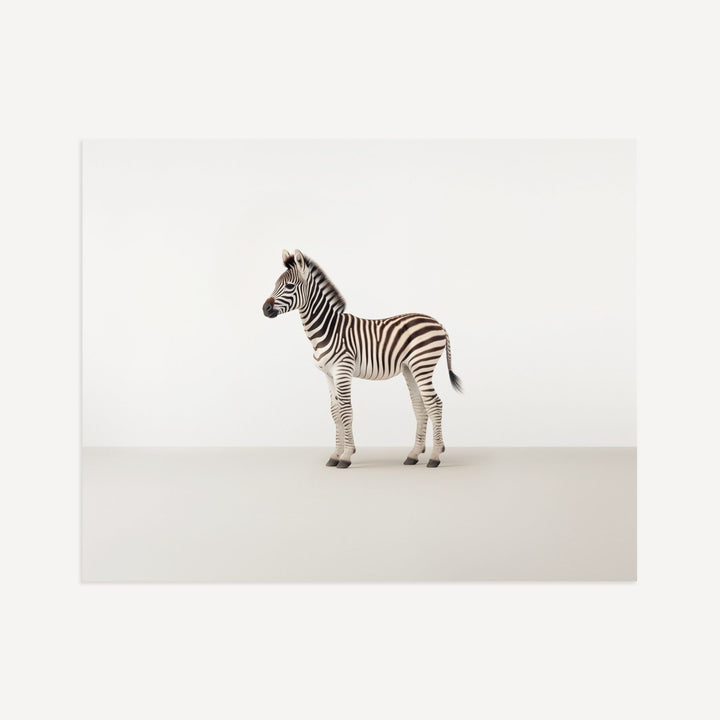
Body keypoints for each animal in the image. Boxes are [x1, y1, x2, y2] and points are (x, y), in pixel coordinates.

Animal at [262, 249, 462, 468]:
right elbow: (334, 412)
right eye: (275, 284)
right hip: (410, 368)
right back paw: (414, 454)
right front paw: (335, 455)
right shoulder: (328, 374)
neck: (327, 329)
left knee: (435, 404)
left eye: (289, 286)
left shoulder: (342, 369)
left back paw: (435, 456)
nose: (265, 309)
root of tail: (439, 323)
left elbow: (346, 410)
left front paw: (346, 456)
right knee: (420, 405)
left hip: (422, 364)